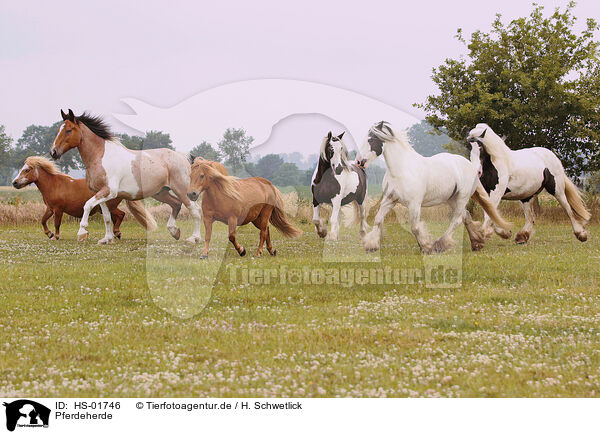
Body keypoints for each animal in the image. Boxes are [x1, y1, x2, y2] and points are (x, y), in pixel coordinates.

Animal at [356, 120, 510, 253]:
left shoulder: (414, 204)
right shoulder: (389, 200)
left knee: (457, 220)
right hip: (452, 199)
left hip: (462, 198)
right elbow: (378, 220)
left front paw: (426, 247)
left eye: (371, 140)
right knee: (466, 216)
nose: (359, 162)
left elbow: (415, 227)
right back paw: (476, 243)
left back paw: (440, 244)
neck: (401, 169)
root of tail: (472, 167)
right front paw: (371, 245)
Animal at [464, 124, 592, 242]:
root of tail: (551, 155)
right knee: (531, 217)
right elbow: (491, 212)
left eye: (481, 147)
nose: (477, 171)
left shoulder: (497, 192)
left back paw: (581, 234)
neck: (494, 164)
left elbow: (490, 213)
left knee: (568, 209)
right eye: (468, 148)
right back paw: (522, 236)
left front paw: (483, 235)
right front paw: (505, 232)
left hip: (557, 190)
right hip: (527, 196)